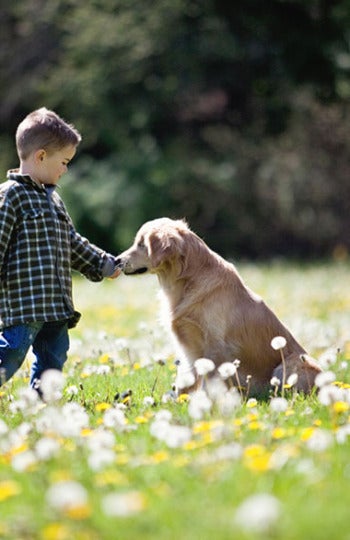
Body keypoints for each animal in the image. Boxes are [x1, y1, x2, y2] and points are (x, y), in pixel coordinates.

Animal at [115, 217, 322, 398]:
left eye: (141, 244)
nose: (117, 260)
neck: (187, 281)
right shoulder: (189, 347)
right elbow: (185, 379)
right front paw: (178, 400)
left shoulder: (215, 346)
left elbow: (209, 381)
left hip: (291, 363)